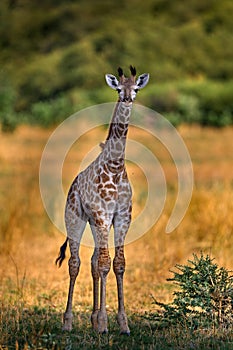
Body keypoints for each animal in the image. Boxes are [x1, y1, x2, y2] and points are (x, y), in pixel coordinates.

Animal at [57, 65, 149, 334]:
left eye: (136, 88)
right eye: (118, 88)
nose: (127, 98)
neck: (116, 167)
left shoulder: (121, 217)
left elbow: (117, 263)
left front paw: (121, 323)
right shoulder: (101, 214)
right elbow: (105, 263)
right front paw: (106, 323)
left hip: (96, 223)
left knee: (92, 262)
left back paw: (93, 318)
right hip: (75, 218)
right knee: (75, 262)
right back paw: (68, 322)